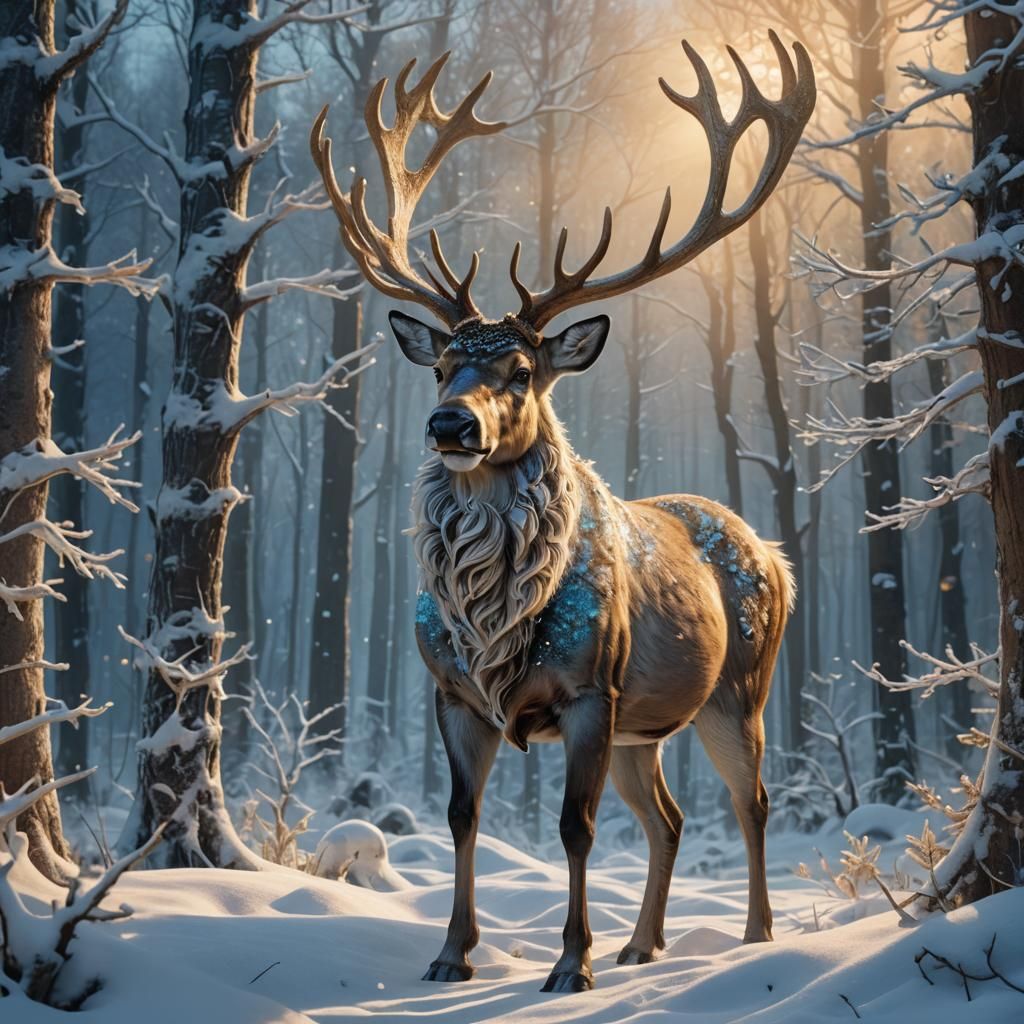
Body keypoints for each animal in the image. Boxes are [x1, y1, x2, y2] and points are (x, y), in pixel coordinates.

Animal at [311, 32, 814, 994]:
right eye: (443, 367)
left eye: (521, 370)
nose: (449, 426)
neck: (493, 618)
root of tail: (775, 554)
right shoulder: (452, 694)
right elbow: (461, 815)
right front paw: (451, 953)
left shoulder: (589, 688)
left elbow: (572, 828)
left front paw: (569, 965)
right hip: (645, 728)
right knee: (667, 818)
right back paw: (642, 943)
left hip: (737, 688)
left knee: (753, 801)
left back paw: (755, 937)